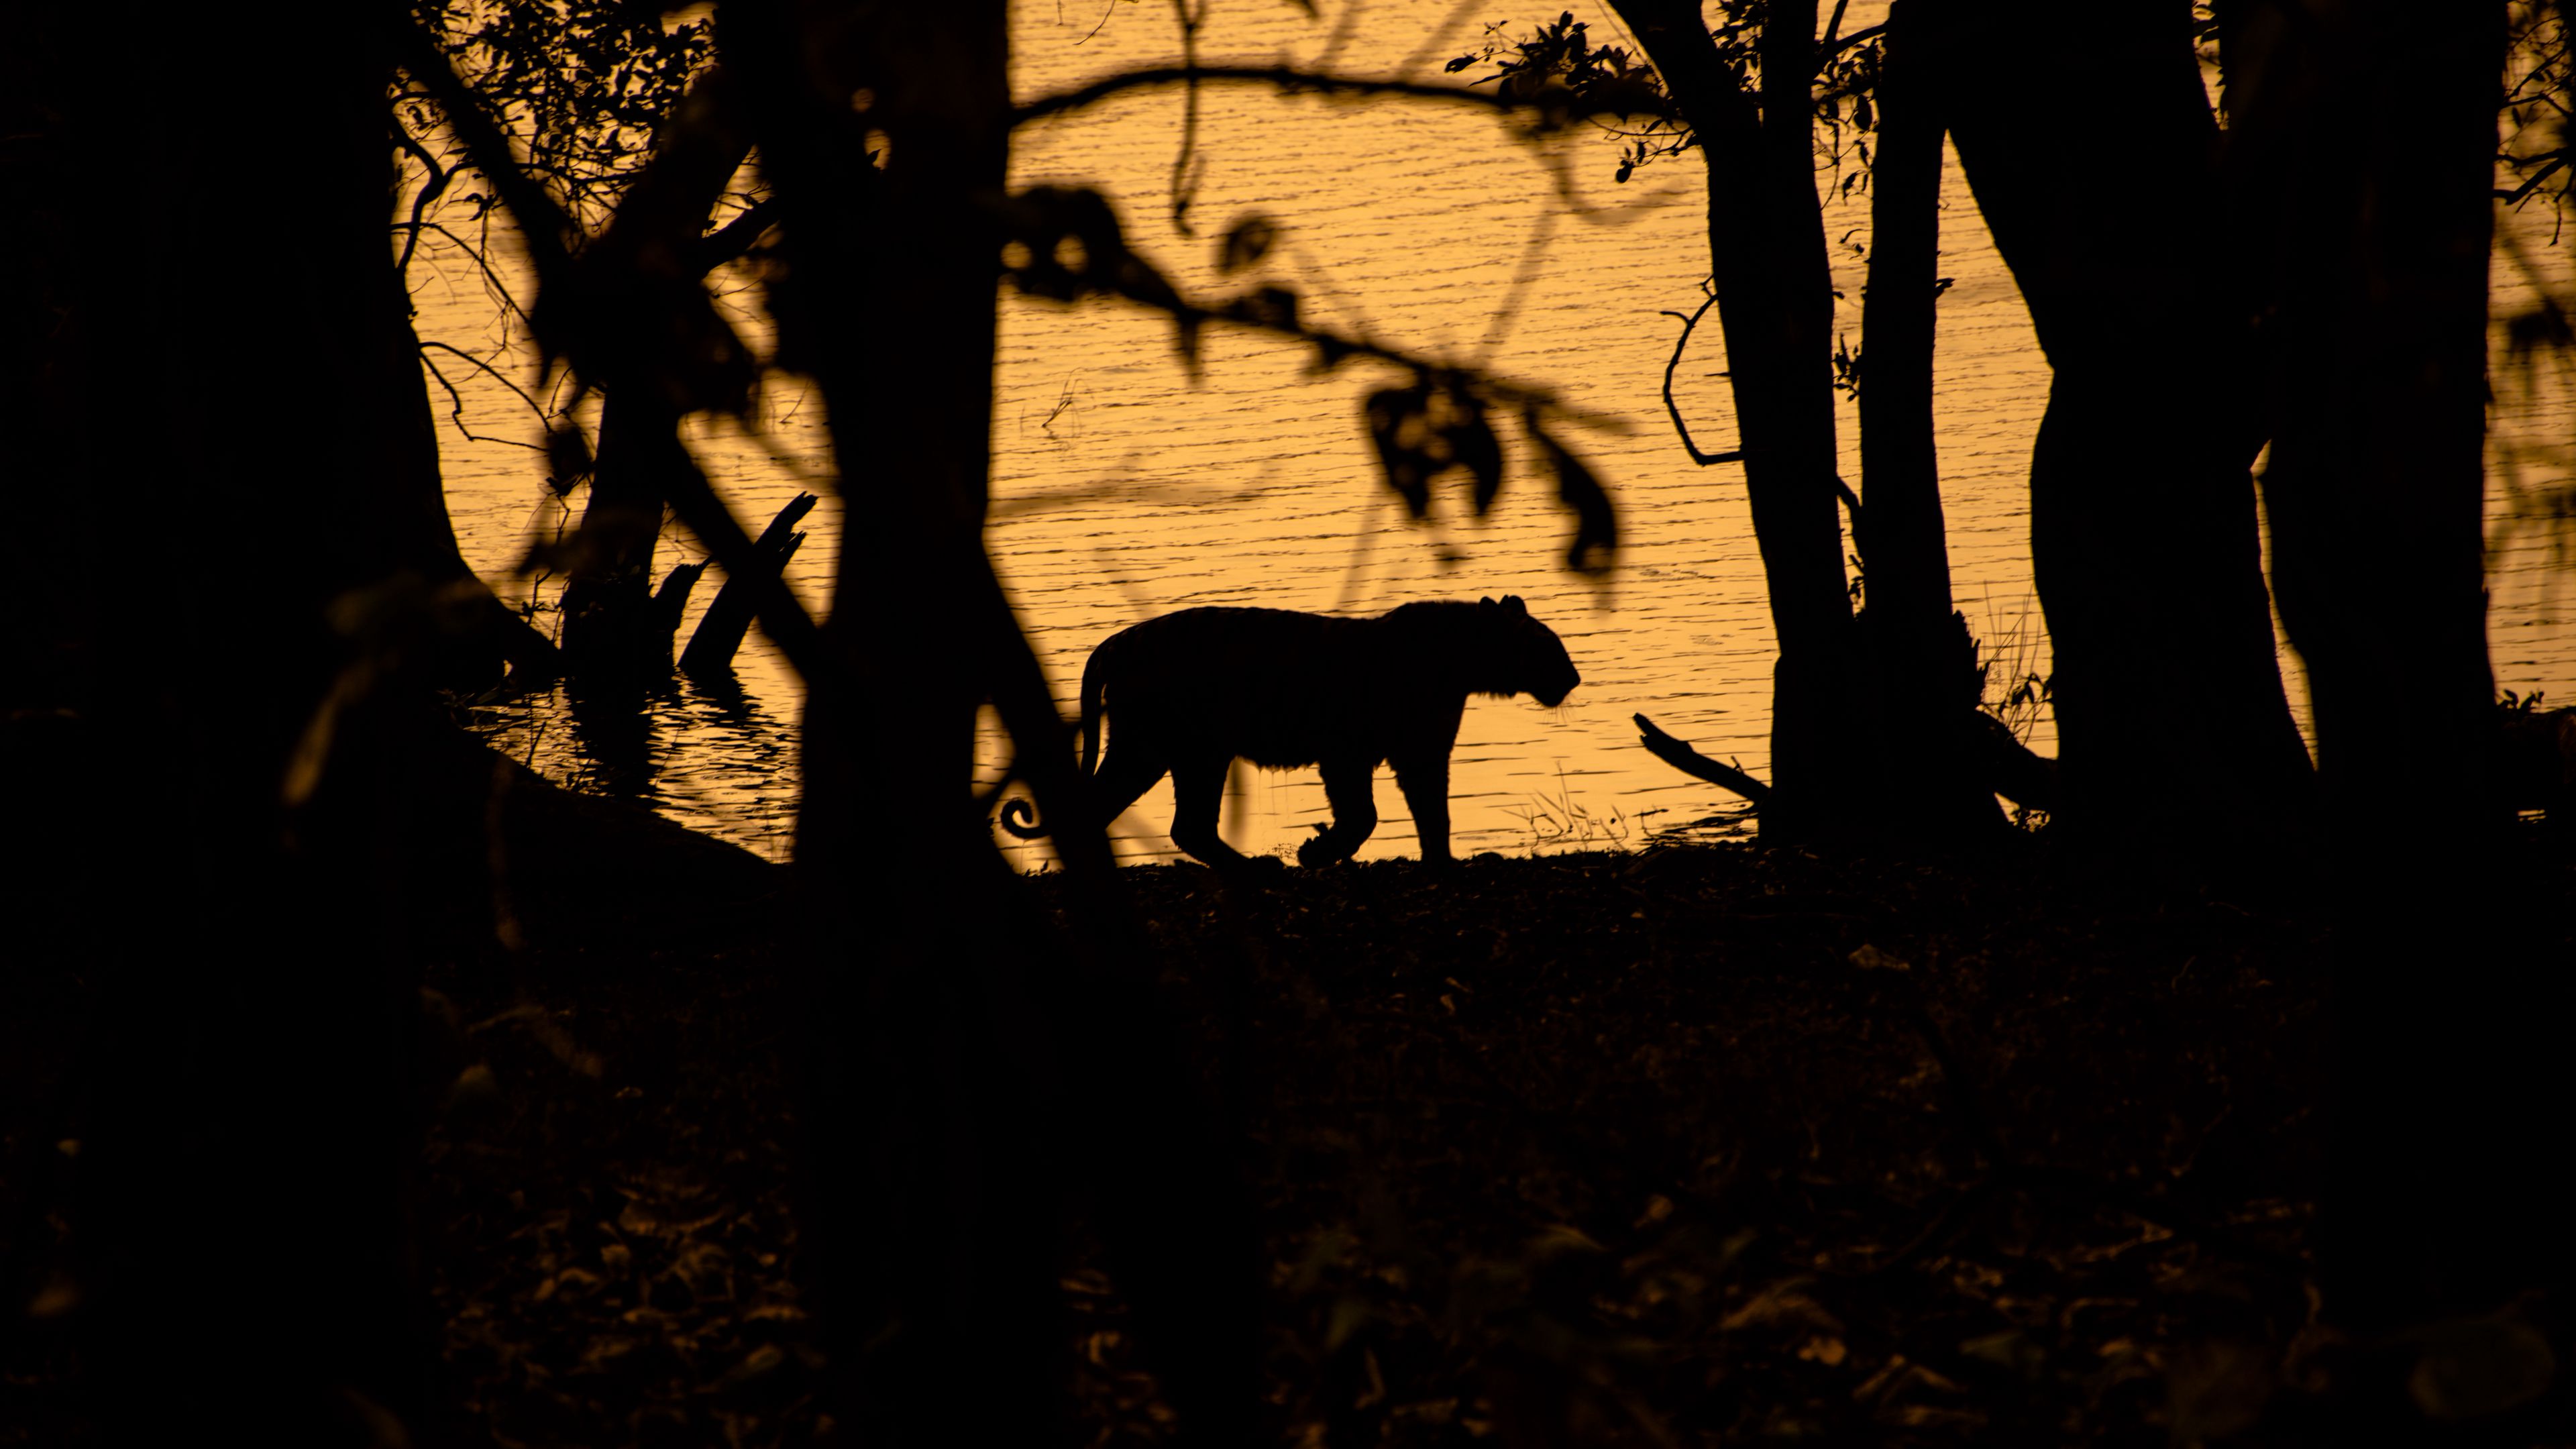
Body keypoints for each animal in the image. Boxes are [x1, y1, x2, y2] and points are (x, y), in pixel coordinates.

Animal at [1000, 596, 1581, 869]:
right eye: (1550, 646)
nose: (1574, 678)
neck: (1462, 663)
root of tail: (1116, 642)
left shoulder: (1422, 753)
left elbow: (1434, 813)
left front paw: (1443, 863)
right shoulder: (1348, 754)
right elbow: (1365, 815)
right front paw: (1317, 853)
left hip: (1176, 753)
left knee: (1171, 822)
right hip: (1170, 749)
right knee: (1156, 819)